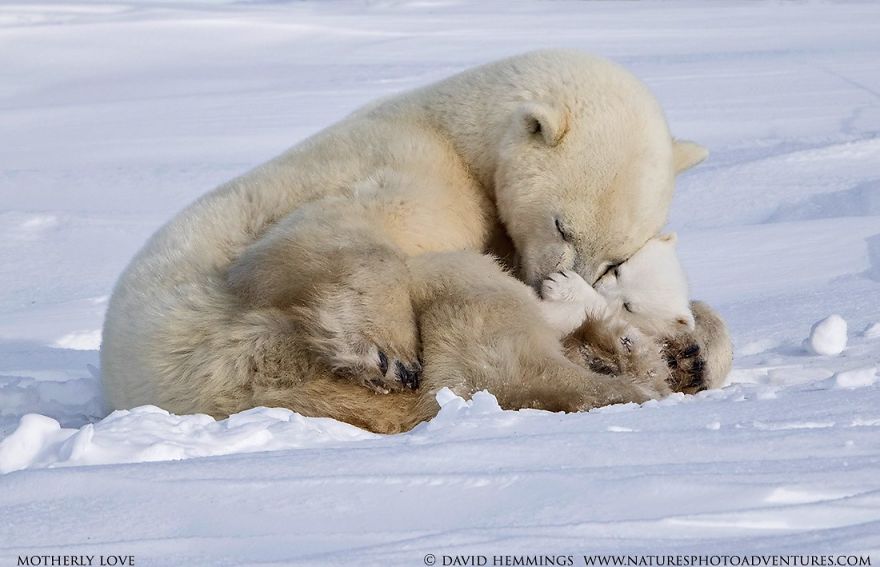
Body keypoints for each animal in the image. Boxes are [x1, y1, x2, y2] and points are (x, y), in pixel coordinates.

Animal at [100, 49, 709, 428]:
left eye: (614, 257)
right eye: (563, 225)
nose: (553, 281)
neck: (459, 131)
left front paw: (683, 341)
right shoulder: (416, 165)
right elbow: (324, 229)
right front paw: (385, 352)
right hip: (241, 349)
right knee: (468, 299)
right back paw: (608, 384)